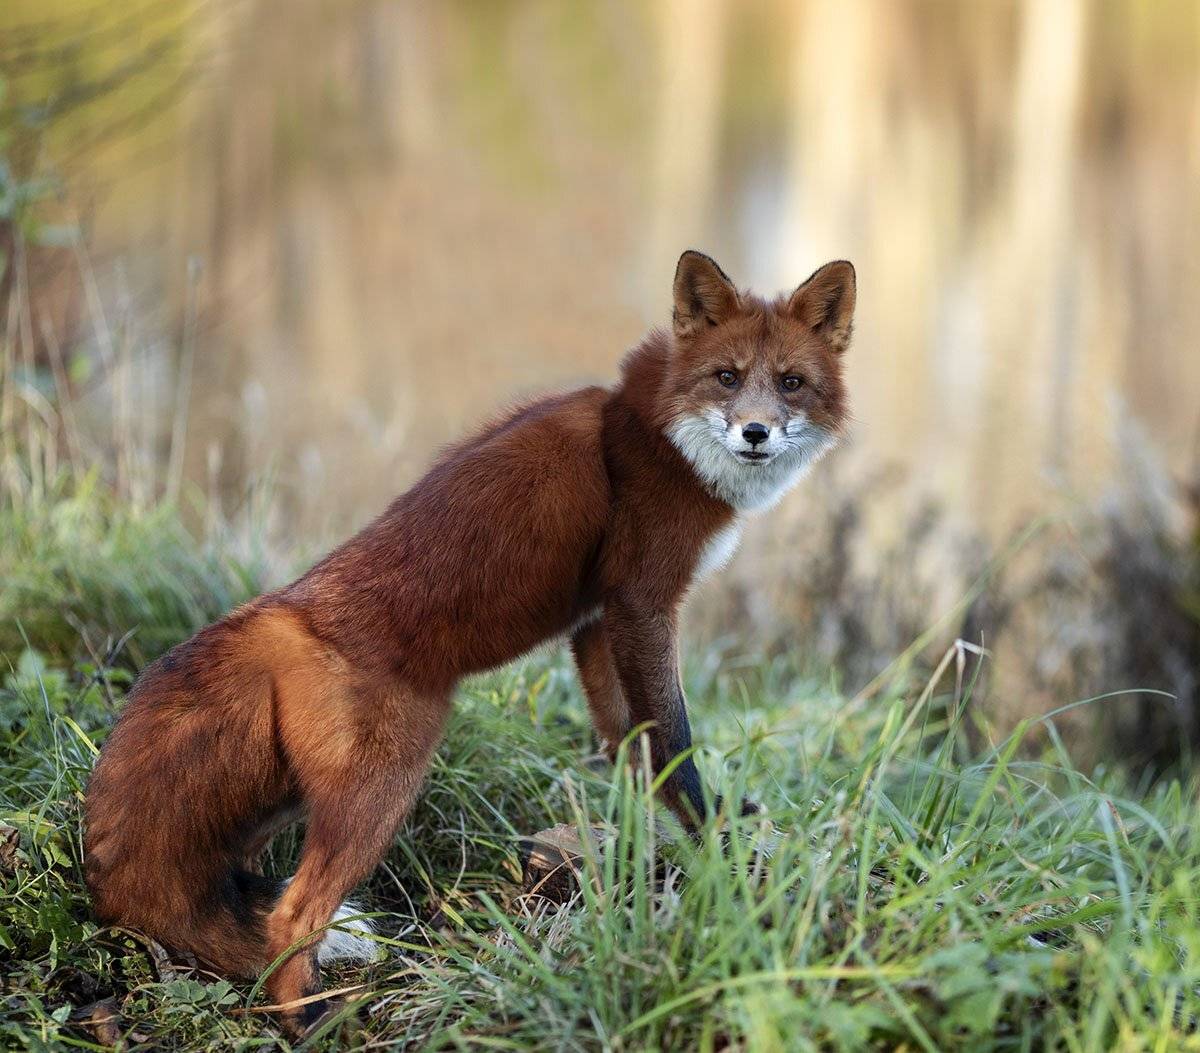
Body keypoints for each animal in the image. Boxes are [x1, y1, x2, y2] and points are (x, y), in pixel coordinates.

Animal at [83, 250, 855, 1036]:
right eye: (727, 377)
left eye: (790, 383)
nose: (755, 432)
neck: (657, 433)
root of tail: (282, 613)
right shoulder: (643, 603)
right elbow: (673, 739)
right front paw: (712, 841)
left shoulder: (597, 620)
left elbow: (629, 745)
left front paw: (657, 842)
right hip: (382, 788)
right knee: (291, 914)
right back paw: (312, 1021)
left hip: (286, 805)